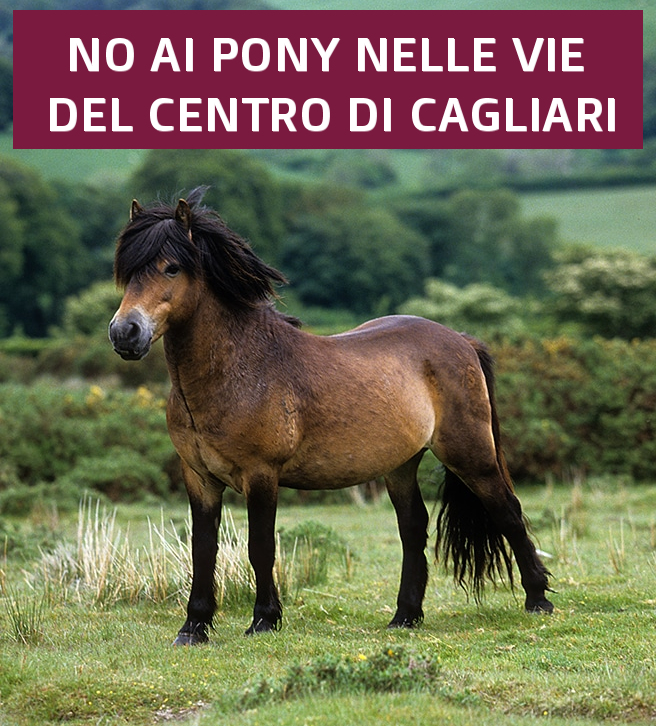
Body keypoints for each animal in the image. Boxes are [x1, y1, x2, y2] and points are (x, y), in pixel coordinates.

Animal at [109, 187, 553, 645]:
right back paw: (405, 615)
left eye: (172, 268)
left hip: (470, 454)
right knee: (413, 527)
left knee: (507, 511)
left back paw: (538, 599)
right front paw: (194, 626)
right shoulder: (199, 478)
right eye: (127, 271)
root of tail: (461, 340)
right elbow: (202, 549)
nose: (125, 333)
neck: (236, 371)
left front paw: (264, 619)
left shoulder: (260, 475)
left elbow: (260, 547)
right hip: (400, 465)